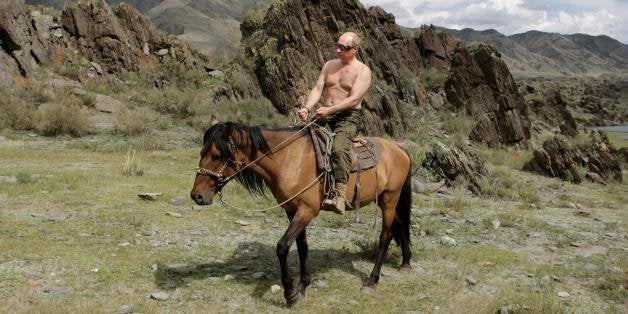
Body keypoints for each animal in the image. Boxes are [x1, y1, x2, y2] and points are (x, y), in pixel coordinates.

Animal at [189, 122, 410, 306]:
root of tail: (398, 148)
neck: (288, 160)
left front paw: (290, 292)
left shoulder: (306, 211)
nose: (197, 196)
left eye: (217, 156)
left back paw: (372, 280)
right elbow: (302, 246)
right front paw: (303, 286)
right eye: (202, 153)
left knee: (386, 236)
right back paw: (405, 262)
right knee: (400, 224)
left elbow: (283, 246)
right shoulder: (292, 210)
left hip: (389, 199)